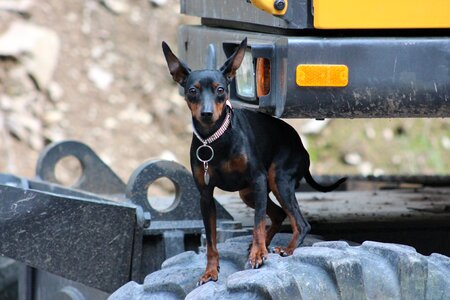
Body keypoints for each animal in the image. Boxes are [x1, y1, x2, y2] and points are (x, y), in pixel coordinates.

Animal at [163, 38, 348, 284]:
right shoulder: (206, 197)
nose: (207, 113)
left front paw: (258, 255)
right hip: (248, 193)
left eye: (220, 90)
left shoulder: (258, 179)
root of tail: (302, 147)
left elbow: (258, 223)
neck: (216, 139)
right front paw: (211, 271)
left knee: (301, 223)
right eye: (193, 91)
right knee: (279, 214)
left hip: (277, 180)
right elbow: (211, 240)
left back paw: (286, 249)